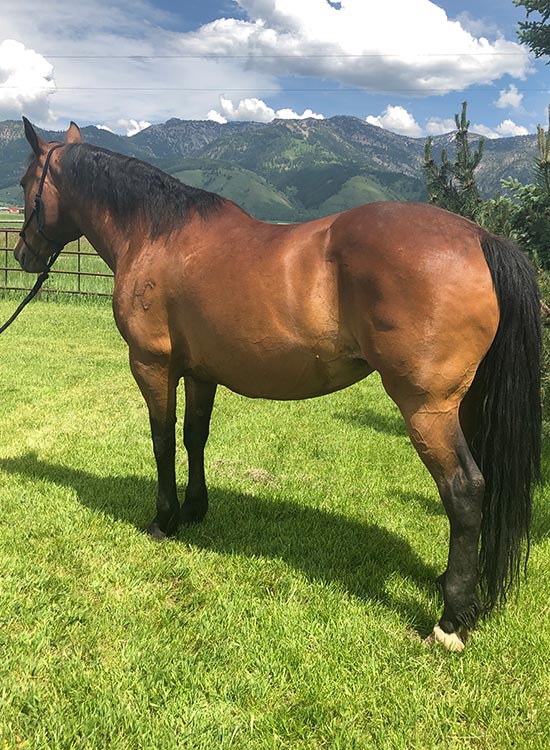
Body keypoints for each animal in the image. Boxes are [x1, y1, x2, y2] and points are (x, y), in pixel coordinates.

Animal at [14, 117, 541, 652]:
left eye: (23, 182)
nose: (22, 254)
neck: (156, 236)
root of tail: (481, 238)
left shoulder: (151, 365)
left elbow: (162, 440)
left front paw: (164, 520)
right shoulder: (201, 373)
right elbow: (194, 437)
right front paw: (195, 509)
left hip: (426, 408)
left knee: (464, 489)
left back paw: (451, 621)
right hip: (466, 405)